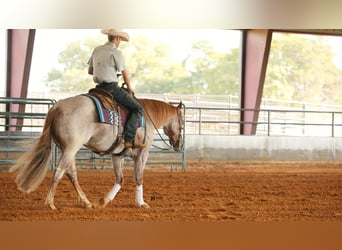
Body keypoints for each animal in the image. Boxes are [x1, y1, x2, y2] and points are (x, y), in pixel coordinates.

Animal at [9, 94, 183, 210]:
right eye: (182, 124)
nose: (178, 144)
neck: (147, 116)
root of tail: (57, 107)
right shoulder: (142, 153)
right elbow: (138, 177)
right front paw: (141, 203)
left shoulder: (117, 155)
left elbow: (119, 179)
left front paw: (104, 201)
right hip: (71, 148)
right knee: (59, 172)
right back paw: (51, 203)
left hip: (68, 149)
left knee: (71, 174)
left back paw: (86, 202)